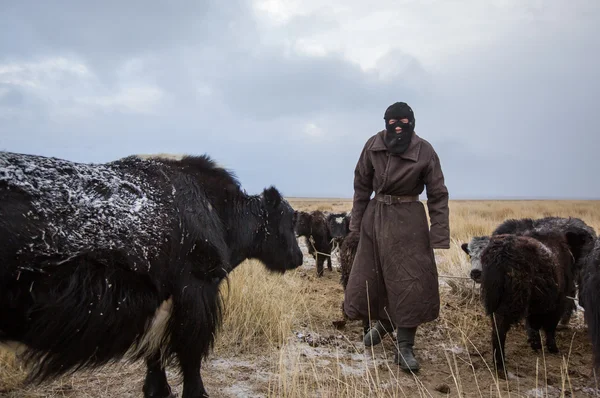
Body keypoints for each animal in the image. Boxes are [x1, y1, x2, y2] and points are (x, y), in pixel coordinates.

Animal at [0, 152, 300, 398]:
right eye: (289, 220)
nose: (298, 258)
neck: (216, 210)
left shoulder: (159, 300)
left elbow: (154, 353)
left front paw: (158, 390)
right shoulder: (196, 291)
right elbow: (190, 354)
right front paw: (195, 393)